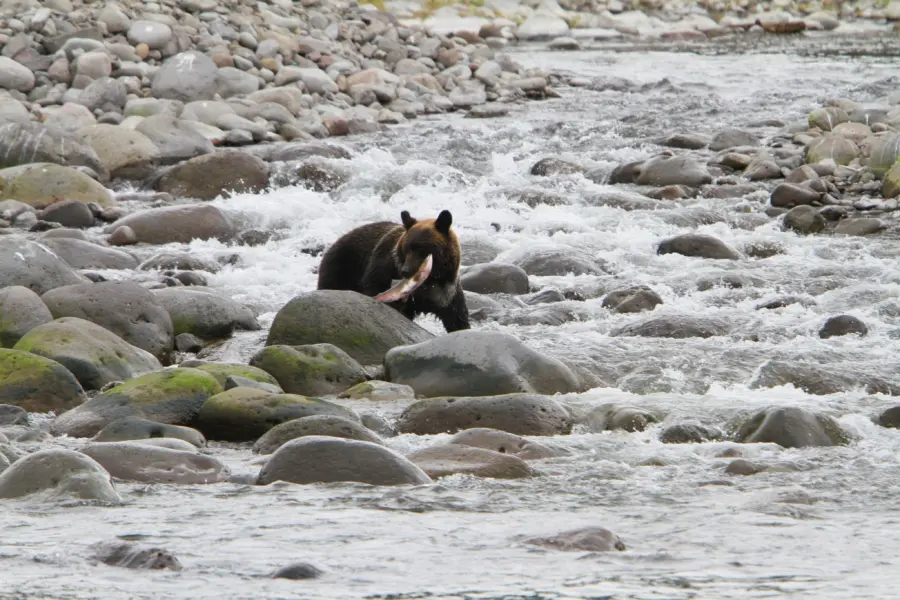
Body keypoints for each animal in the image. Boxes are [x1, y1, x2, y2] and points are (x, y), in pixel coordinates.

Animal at [316, 209, 470, 333]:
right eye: (407, 248)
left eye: (421, 248)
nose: (406, 271)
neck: (430, 280)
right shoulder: (384, 266)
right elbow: (377, 286)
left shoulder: (446, 292)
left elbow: (457, 318)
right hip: (341, 267)